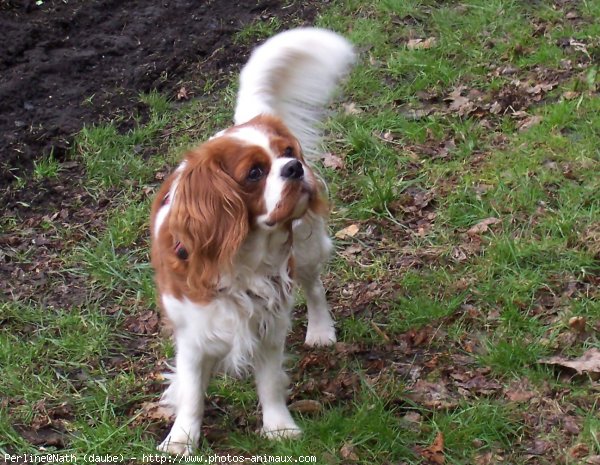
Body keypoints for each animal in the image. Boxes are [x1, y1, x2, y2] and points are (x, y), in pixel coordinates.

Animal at [150, 28, 354, 454]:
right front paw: (181, 440)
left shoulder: (268, 324)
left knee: (314, 288)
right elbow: (191, 394)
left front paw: (279, 428)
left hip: (306, 249)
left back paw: (320, 331)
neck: (243, 258)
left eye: (288, 152)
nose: (295, 167)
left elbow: (270, 382)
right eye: (254, 173)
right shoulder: (192, 337)